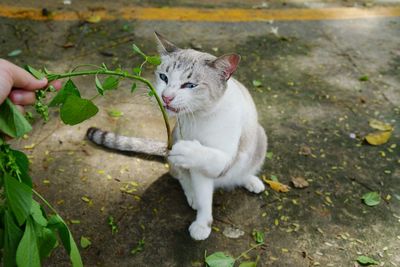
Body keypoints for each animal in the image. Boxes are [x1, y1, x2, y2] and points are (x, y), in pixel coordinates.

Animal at [87, 31, 268, 241]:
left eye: (190, 85)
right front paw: (202, 223)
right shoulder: (196, 166)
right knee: (179, 174)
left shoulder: (225, 158)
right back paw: (193, 194)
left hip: (261, 137)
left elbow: (211, 155)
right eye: (163, 77)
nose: (166, 97)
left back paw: (251, 181)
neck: (202, 117)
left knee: (242, 171)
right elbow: (204, 197)